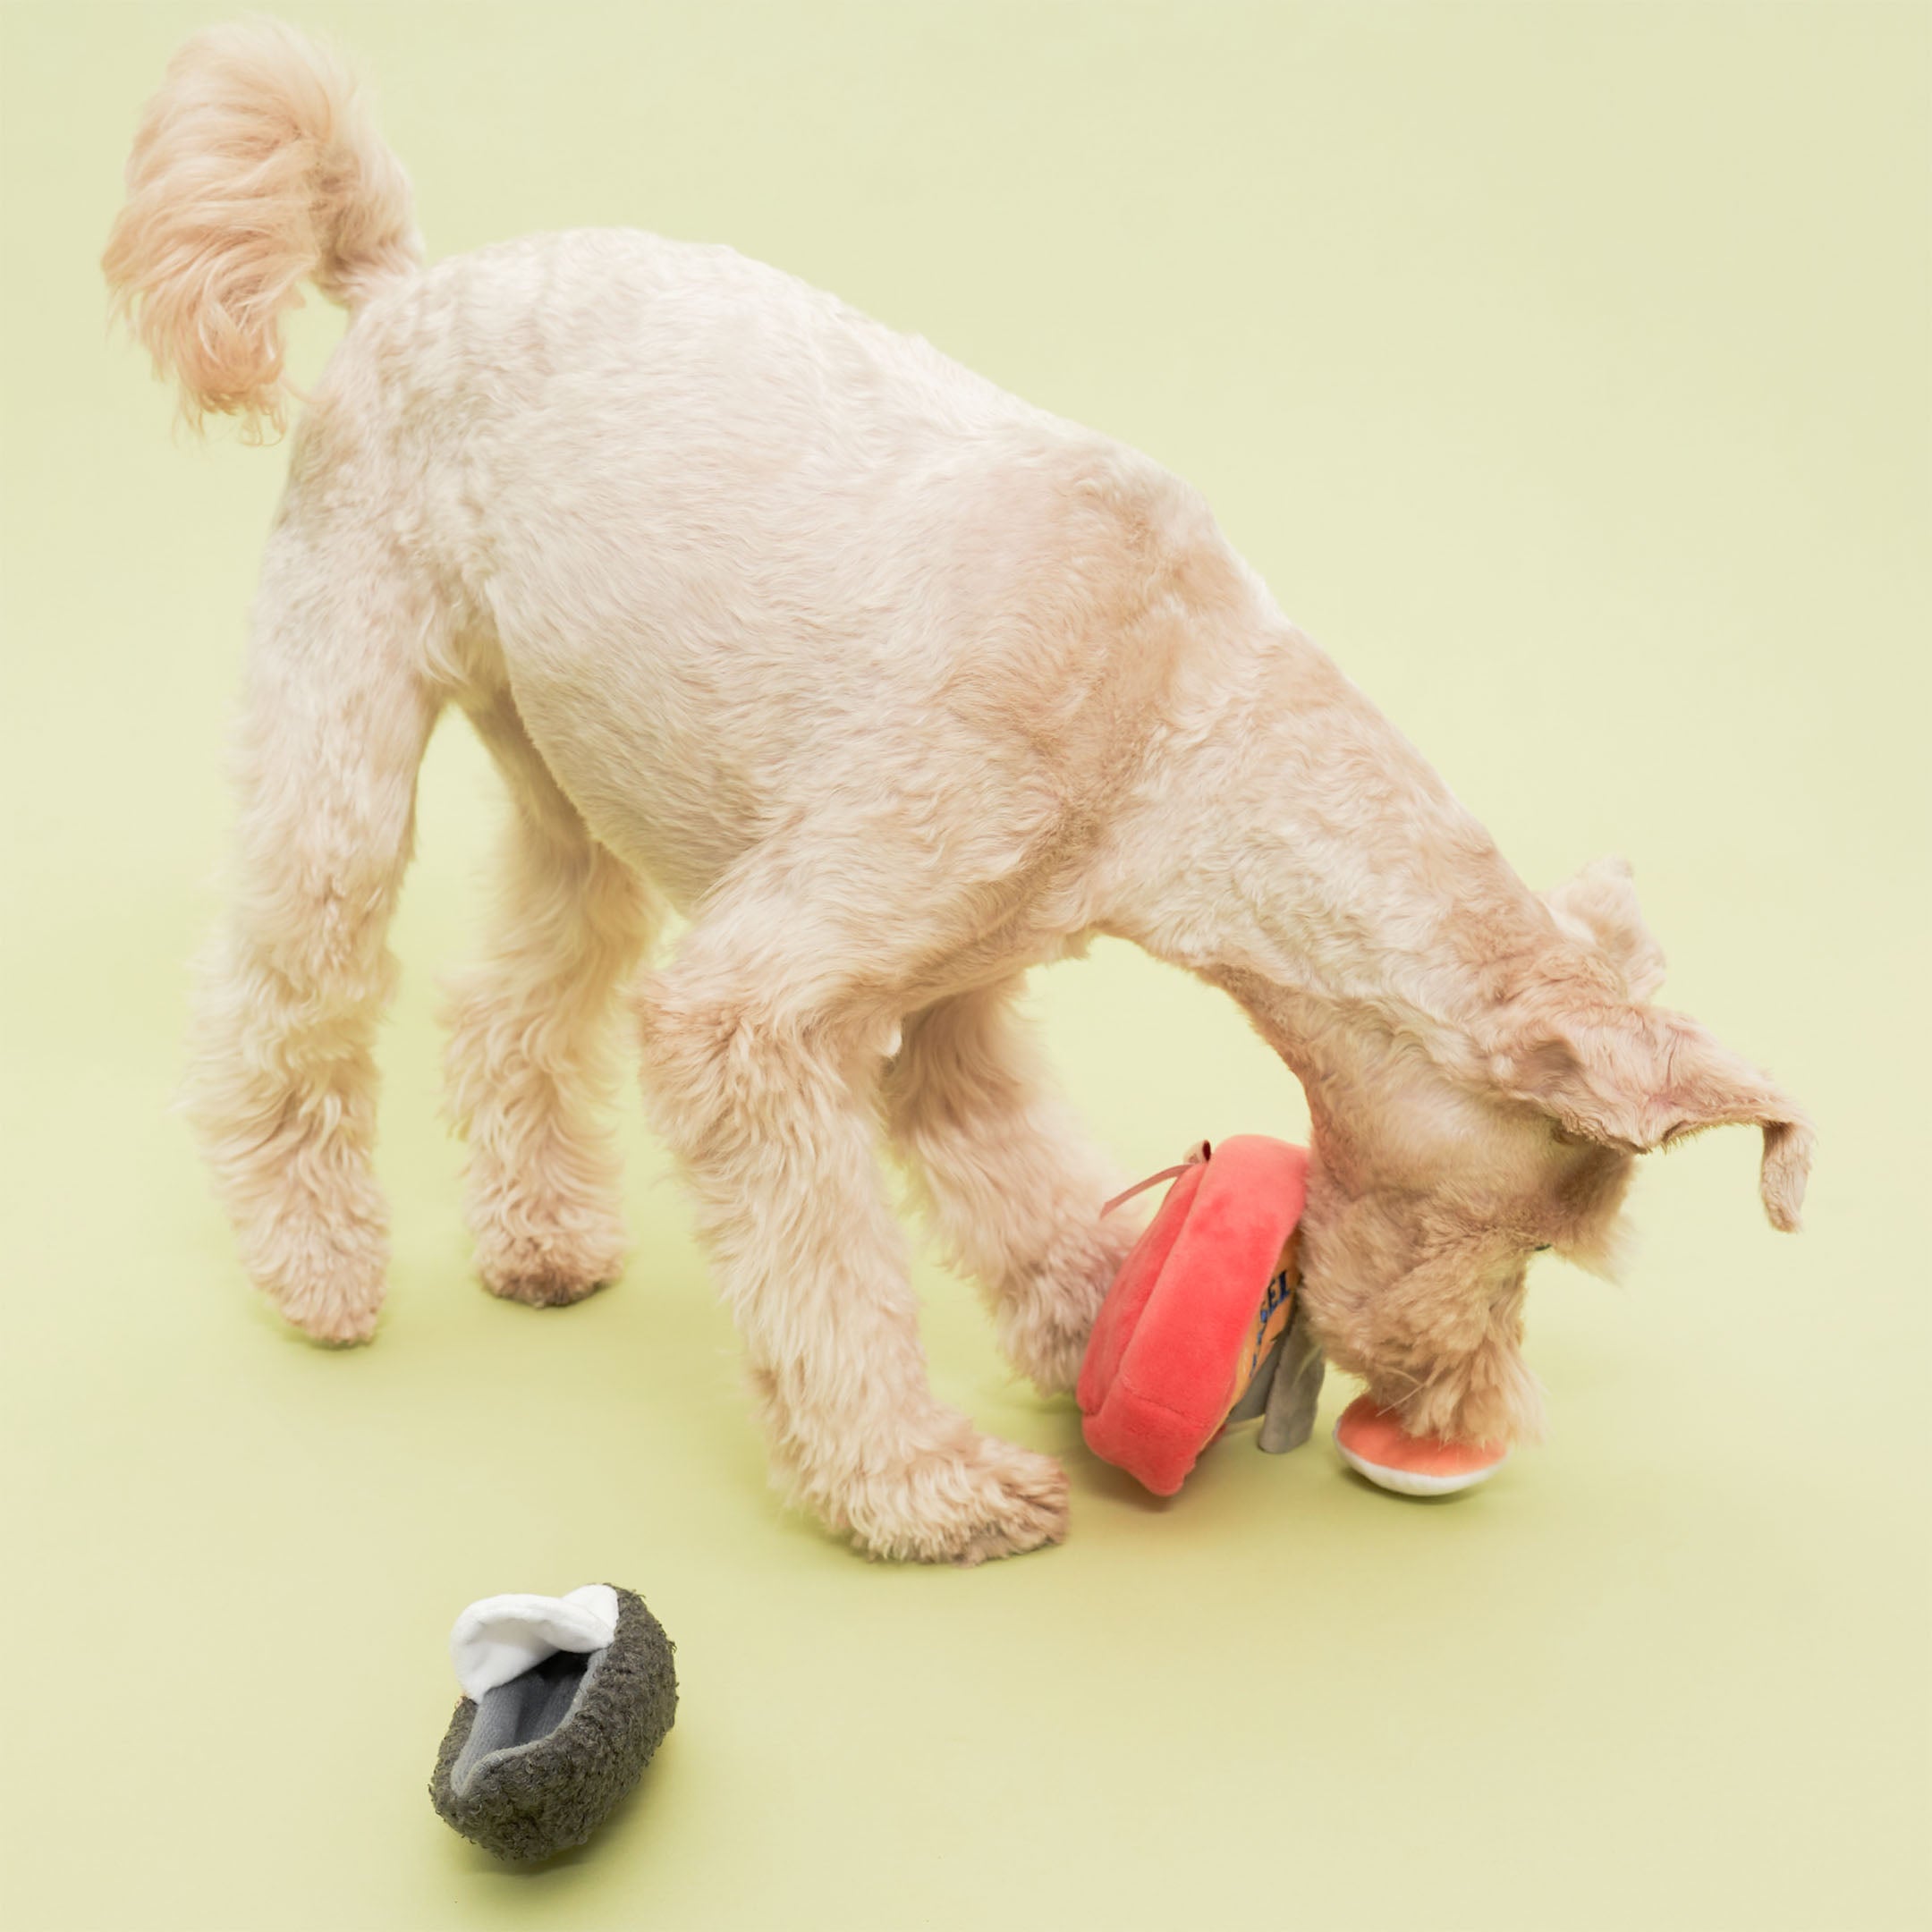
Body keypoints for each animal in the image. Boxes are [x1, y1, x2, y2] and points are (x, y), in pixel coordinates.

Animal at [106, 26, 1808, 1568]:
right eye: (1538, 1236)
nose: (1468, 1423)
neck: (1177, 712)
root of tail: (404, 281)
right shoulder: (757, 1017)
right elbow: (829, 1273)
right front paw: (918, 1489)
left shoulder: (954, 1003)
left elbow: (1021, 1179)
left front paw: (1089, 1326)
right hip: (341, 746)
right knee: (284, 999)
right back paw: (315, 1263)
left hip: (577, 790)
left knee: (517, 998)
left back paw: (538, 1235)